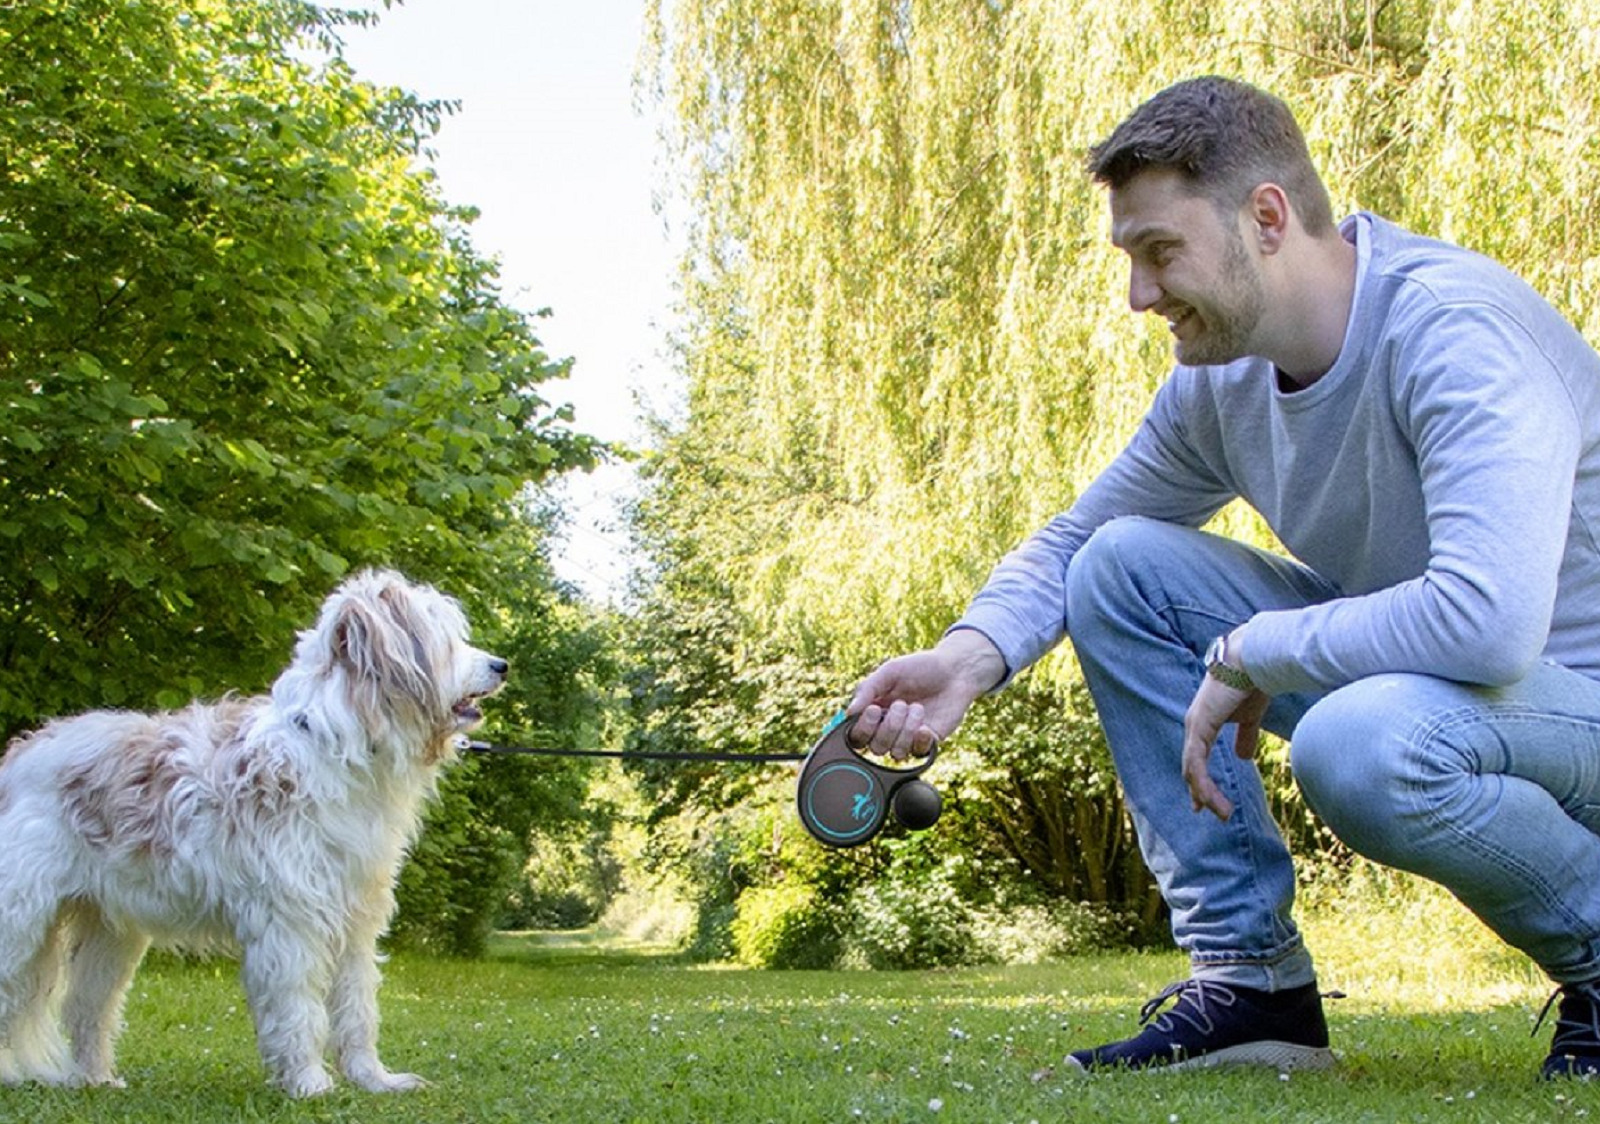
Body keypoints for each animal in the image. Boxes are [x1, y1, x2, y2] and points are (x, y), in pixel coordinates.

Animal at [0, 569, 506, 1096]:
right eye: (443, 639)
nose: (501, 665)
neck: (331, 746)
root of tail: (21, 754)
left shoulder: (354, 920)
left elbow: (357, 1009)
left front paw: (373, 1078)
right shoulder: (290, 924)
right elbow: (298, 1009)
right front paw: (308, 1083)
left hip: (109, 932)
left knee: (87, 1009)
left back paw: (96, 1078)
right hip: (19, 917)